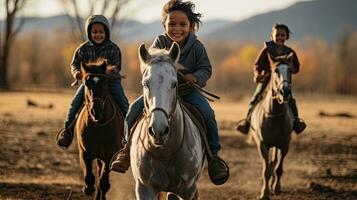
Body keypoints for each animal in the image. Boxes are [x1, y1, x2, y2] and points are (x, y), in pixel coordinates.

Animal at [76, 61, 124, 200]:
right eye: (86, 83)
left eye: (104, 83)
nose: (95, 111)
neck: (98, 126)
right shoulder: (85, 153)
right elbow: (89, 176)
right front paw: (87, 189)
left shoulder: (108, 156)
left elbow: (104, 183)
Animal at [130, 42, 203, 200]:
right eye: (145, 84)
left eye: (174, 84)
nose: (158, 130)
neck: (165, 151)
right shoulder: (144, 188)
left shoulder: (187, 190)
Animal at [249, 53, 294, 200]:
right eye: (275, 70)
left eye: (290, 70)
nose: (285, 91)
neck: (273, 115)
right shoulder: (263, 144)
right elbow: (266, 170)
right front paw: (264, 193)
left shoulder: (285, 144)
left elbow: (278, 168)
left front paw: (276, 188)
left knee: (274, 163)